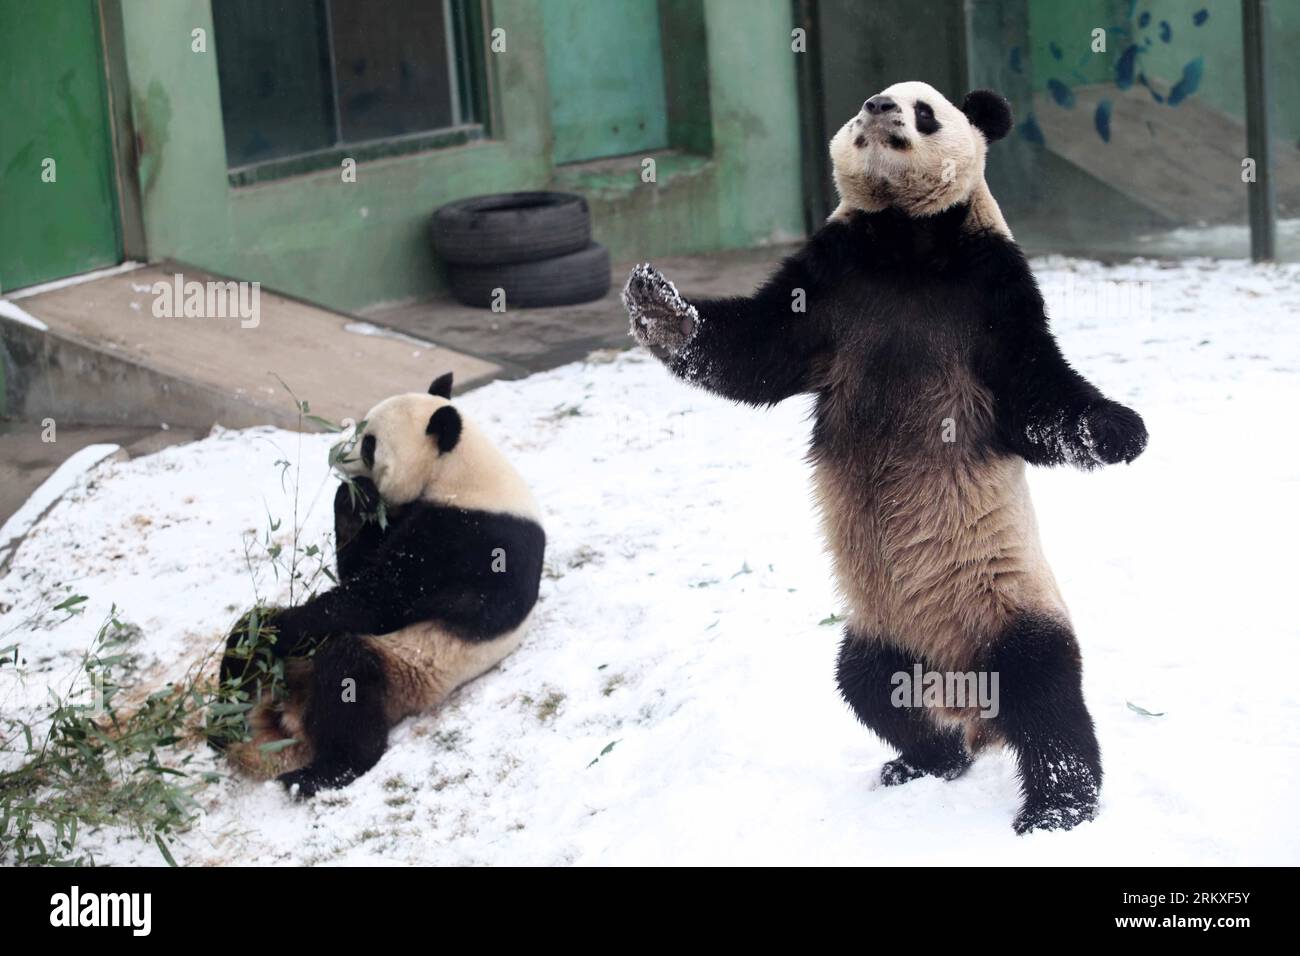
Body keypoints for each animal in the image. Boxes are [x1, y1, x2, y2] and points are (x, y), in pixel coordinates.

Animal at [218, 374, 543, 801]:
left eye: (370, 442)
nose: (337, 453)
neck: (458, 471)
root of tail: (291, 713)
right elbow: (356, 570)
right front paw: (354, 497)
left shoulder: (475, 538)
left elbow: (377, 600)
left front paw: (279, 630)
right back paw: (228, 708)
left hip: (408, 675)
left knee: (350, 674)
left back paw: (320, 774)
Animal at [626, 80, 1149, 832]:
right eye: (860, 107)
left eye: (925, 111)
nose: (877, 108)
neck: (907, 239)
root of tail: (968, 698)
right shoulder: (832, 275)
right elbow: (753, 352)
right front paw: (660, 307)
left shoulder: (992, 286)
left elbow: (1035, 395)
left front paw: (1121, 430)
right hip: (885, 632)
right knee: (870, 687)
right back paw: (926, 761)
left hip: (1009, 600)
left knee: (1045, 694)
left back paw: (1056, 809)